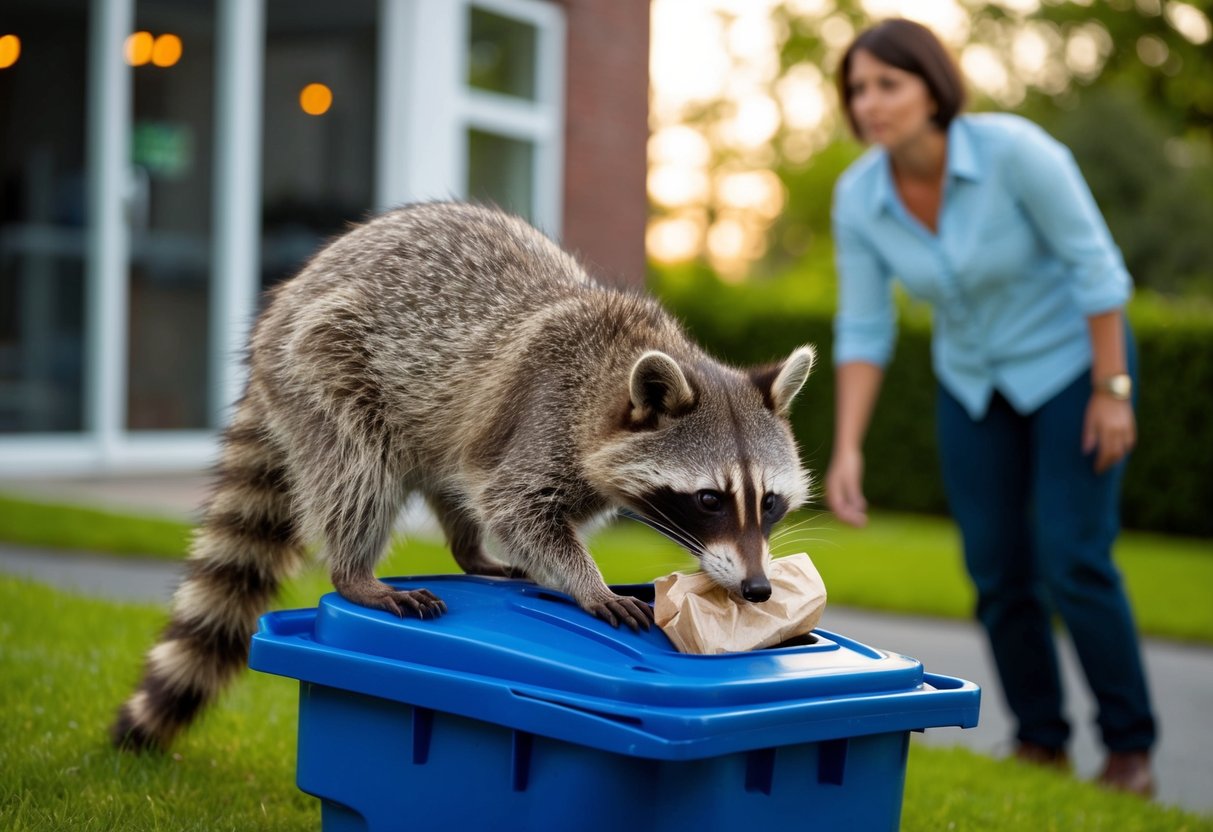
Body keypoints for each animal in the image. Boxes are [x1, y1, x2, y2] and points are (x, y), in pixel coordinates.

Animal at [112, 201, 816, 751]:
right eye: (709, 499)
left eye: (770, 503)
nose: (757, 589)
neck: (613, 371)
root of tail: (283, 302)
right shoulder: (546, 415)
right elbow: (518, 508)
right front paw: (586, 583)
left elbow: (520, 507)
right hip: (324, 362)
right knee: (359, 468)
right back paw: (356, 572)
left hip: (433, 419)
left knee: (451, 477)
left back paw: (467, 549)